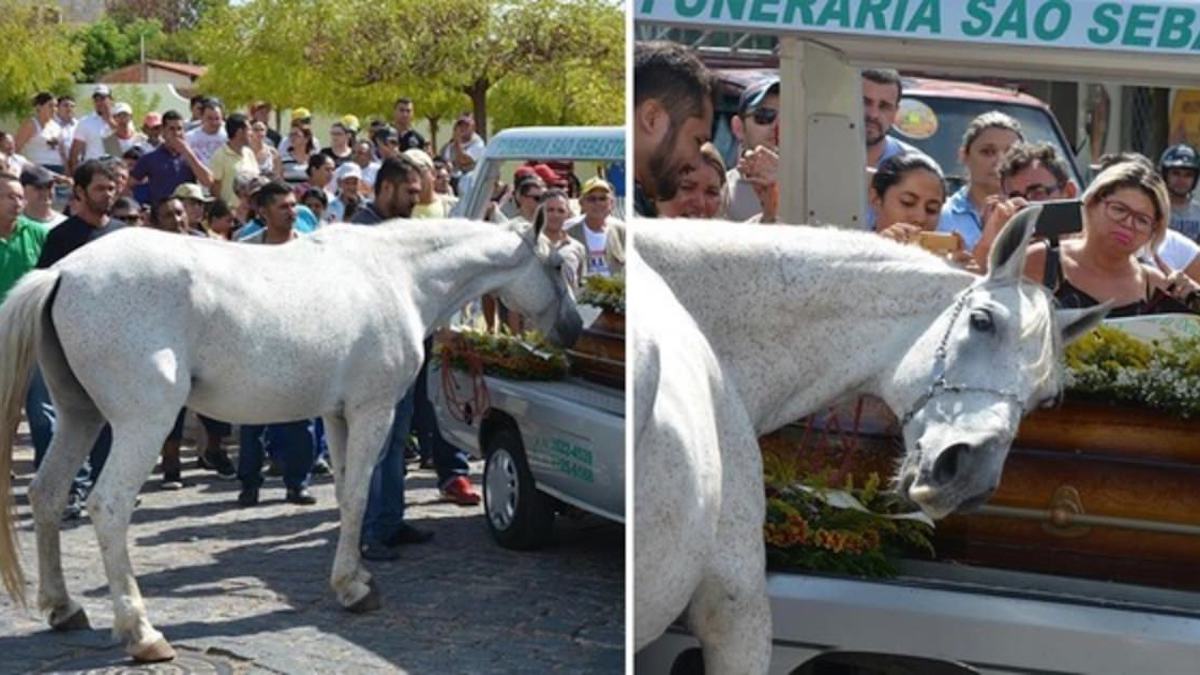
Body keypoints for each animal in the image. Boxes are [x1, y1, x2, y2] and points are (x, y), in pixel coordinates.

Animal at [0, 216, 580, 662]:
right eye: (556, 265)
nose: (573, 328)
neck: (395, 275)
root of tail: (62, 272)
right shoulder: (372, 412)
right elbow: (359, 495)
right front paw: (353, 589)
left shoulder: (338, 417)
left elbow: (346, 494)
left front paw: (354, 578)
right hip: (142, 425)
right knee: (109, 506)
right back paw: (142, 633)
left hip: (80, 417)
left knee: (47, 494)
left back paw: (64, 608)